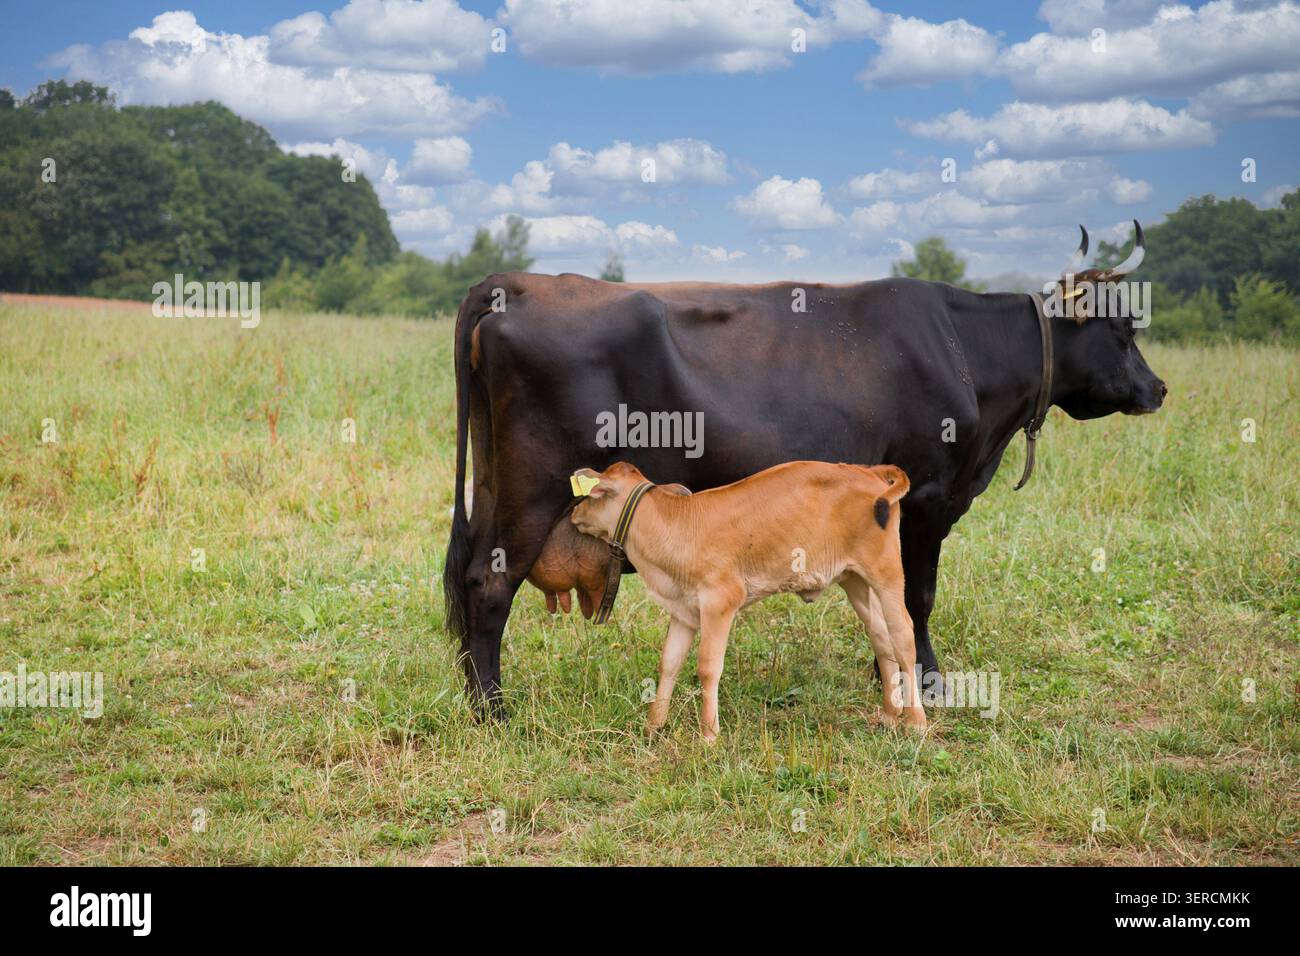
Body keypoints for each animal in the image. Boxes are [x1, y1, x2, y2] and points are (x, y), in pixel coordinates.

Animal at [443, 224, 1164, 718]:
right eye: (1124, 329)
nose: (1157, 389)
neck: (964, 350)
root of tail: (521, 283)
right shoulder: (928, 496)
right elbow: (917, 597)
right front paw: (926, 683)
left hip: (494, 481)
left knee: (467, 573)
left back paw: (473, 696)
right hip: (535, 485)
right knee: (488, 583)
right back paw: (495, 711)